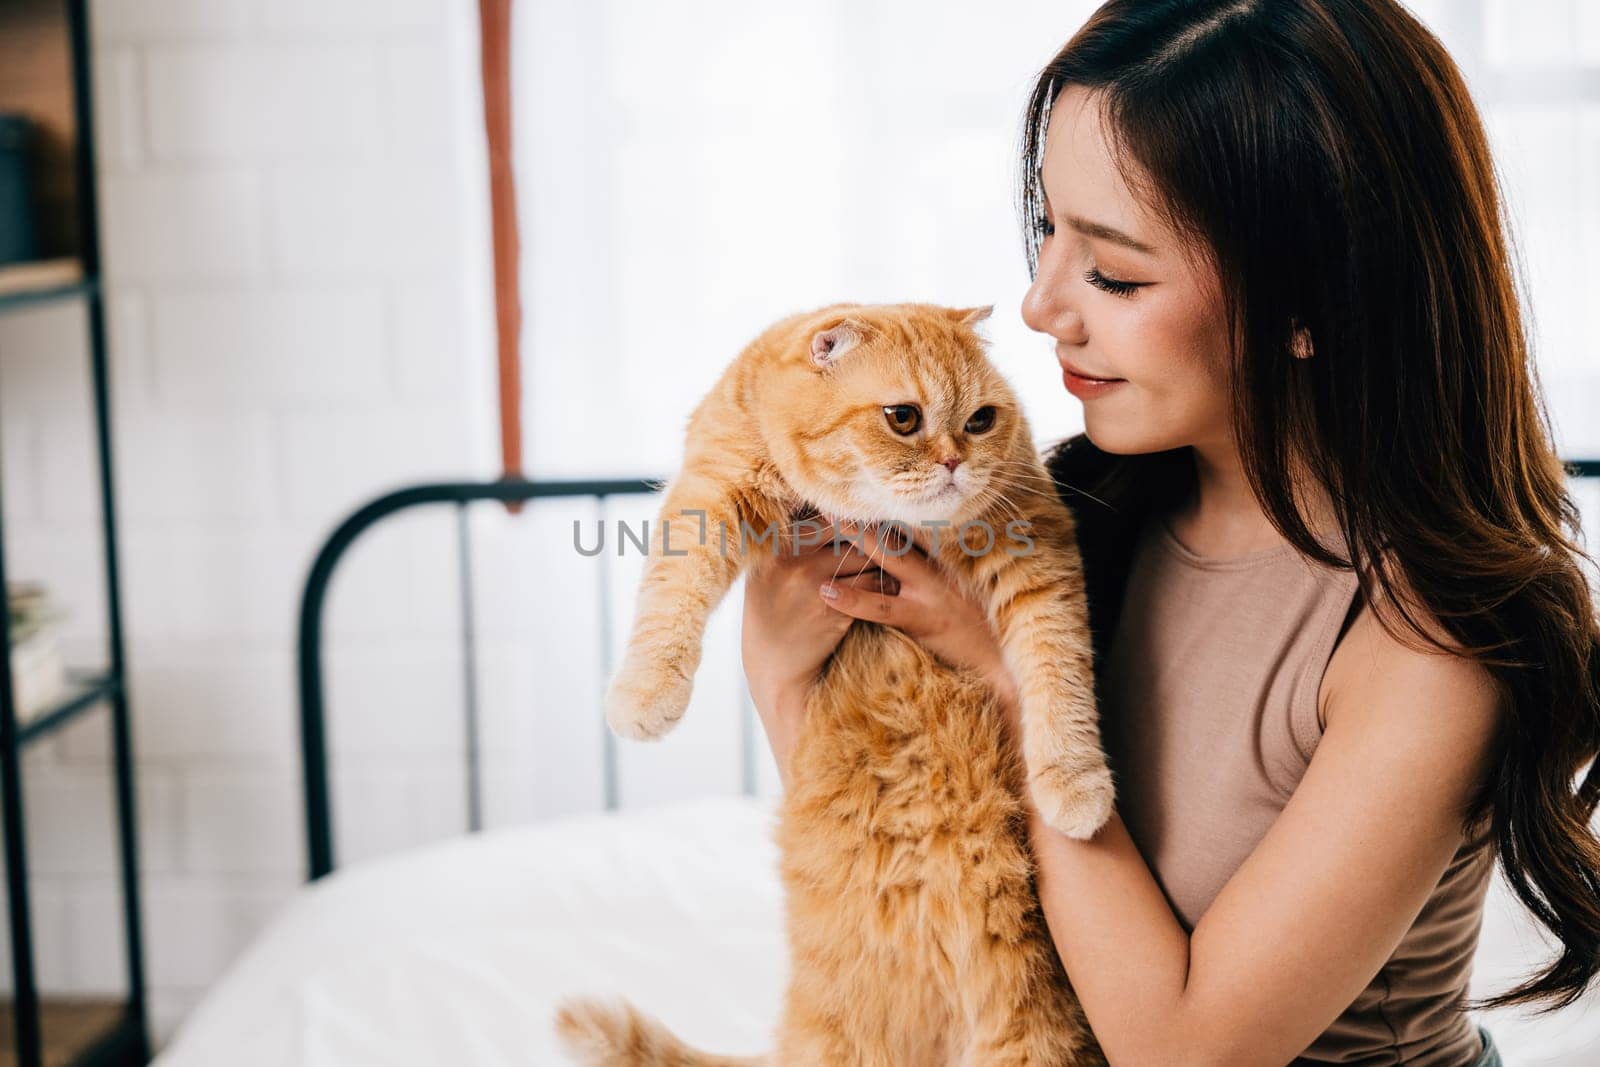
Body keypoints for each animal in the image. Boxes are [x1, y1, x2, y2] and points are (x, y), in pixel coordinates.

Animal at [556, 302, 1107, 1067]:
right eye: (903, 418)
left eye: (981, 420)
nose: (955, 461)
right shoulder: (710, 487)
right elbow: (673, 588)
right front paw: (646, 693)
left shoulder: (1037, 543)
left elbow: (1059, 671)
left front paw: (1074, 783)